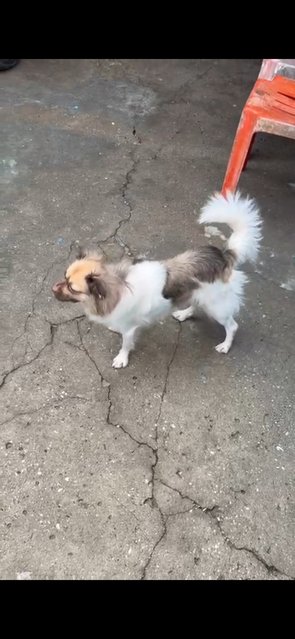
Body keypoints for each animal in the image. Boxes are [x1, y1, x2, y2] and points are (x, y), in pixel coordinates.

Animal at [52, 192, 262, 368]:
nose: (53, 289)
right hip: (200, 294)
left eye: (72, 288)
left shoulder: (129, 328)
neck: (115, 286)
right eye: (64, 276)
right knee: (196, 304)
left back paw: (225, 345)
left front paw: (122, 358)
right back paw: (184, 313)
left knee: (232, 326)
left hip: (217, 307)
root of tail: (224, 256)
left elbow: (126, 344)